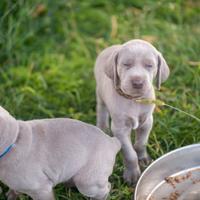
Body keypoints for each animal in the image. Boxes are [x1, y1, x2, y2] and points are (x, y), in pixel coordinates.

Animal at [94, 38, 170, 184]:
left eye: (149, 65)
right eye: (126, 64)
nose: (138, 82)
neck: (134, 100)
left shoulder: (147, 122)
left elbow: (141, 144)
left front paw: (144, 159)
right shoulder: (120, 130)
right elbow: (129, 154)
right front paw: (132, 175)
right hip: (100, 93)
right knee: (102, 110)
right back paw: (102, 128)